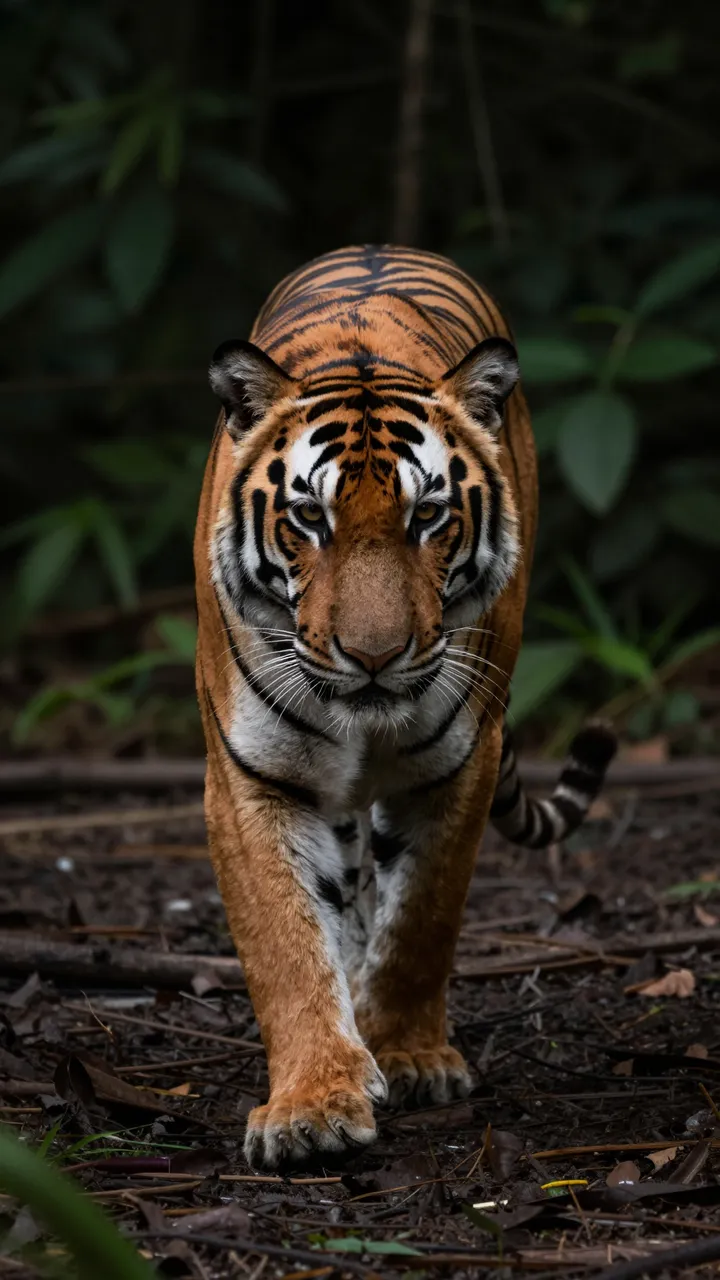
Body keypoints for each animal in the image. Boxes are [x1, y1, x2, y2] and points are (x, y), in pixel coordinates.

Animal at [194, 244, 616, 1170]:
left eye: (428, 515)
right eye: (307, 517)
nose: (375, 656)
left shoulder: (459, 762)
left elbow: (423, 917)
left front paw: (410, 1055)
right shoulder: (252, 776)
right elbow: (286, 942)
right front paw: (312, 1104)